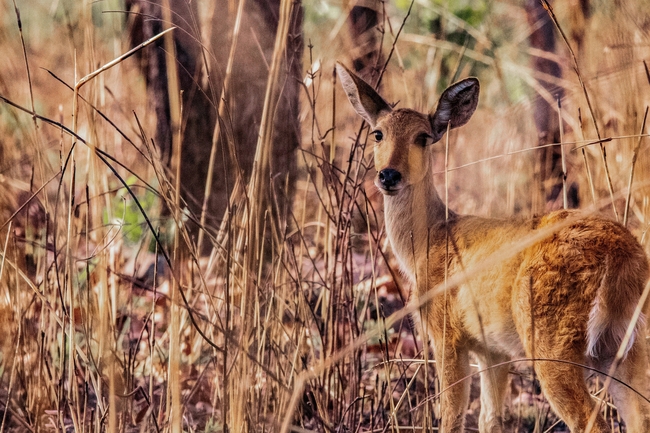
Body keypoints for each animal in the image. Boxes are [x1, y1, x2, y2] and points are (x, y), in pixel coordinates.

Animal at [336, 62, 650, 433]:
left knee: (592, 421)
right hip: (628, 345)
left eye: (423, 137)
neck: (428, 242)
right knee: (641, 416)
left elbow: (452, 416)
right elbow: (491, 418)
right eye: (378, 134)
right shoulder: (493, 349)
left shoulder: (447, 333)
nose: (388, 175)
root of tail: (620, 254)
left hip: (552, 338)